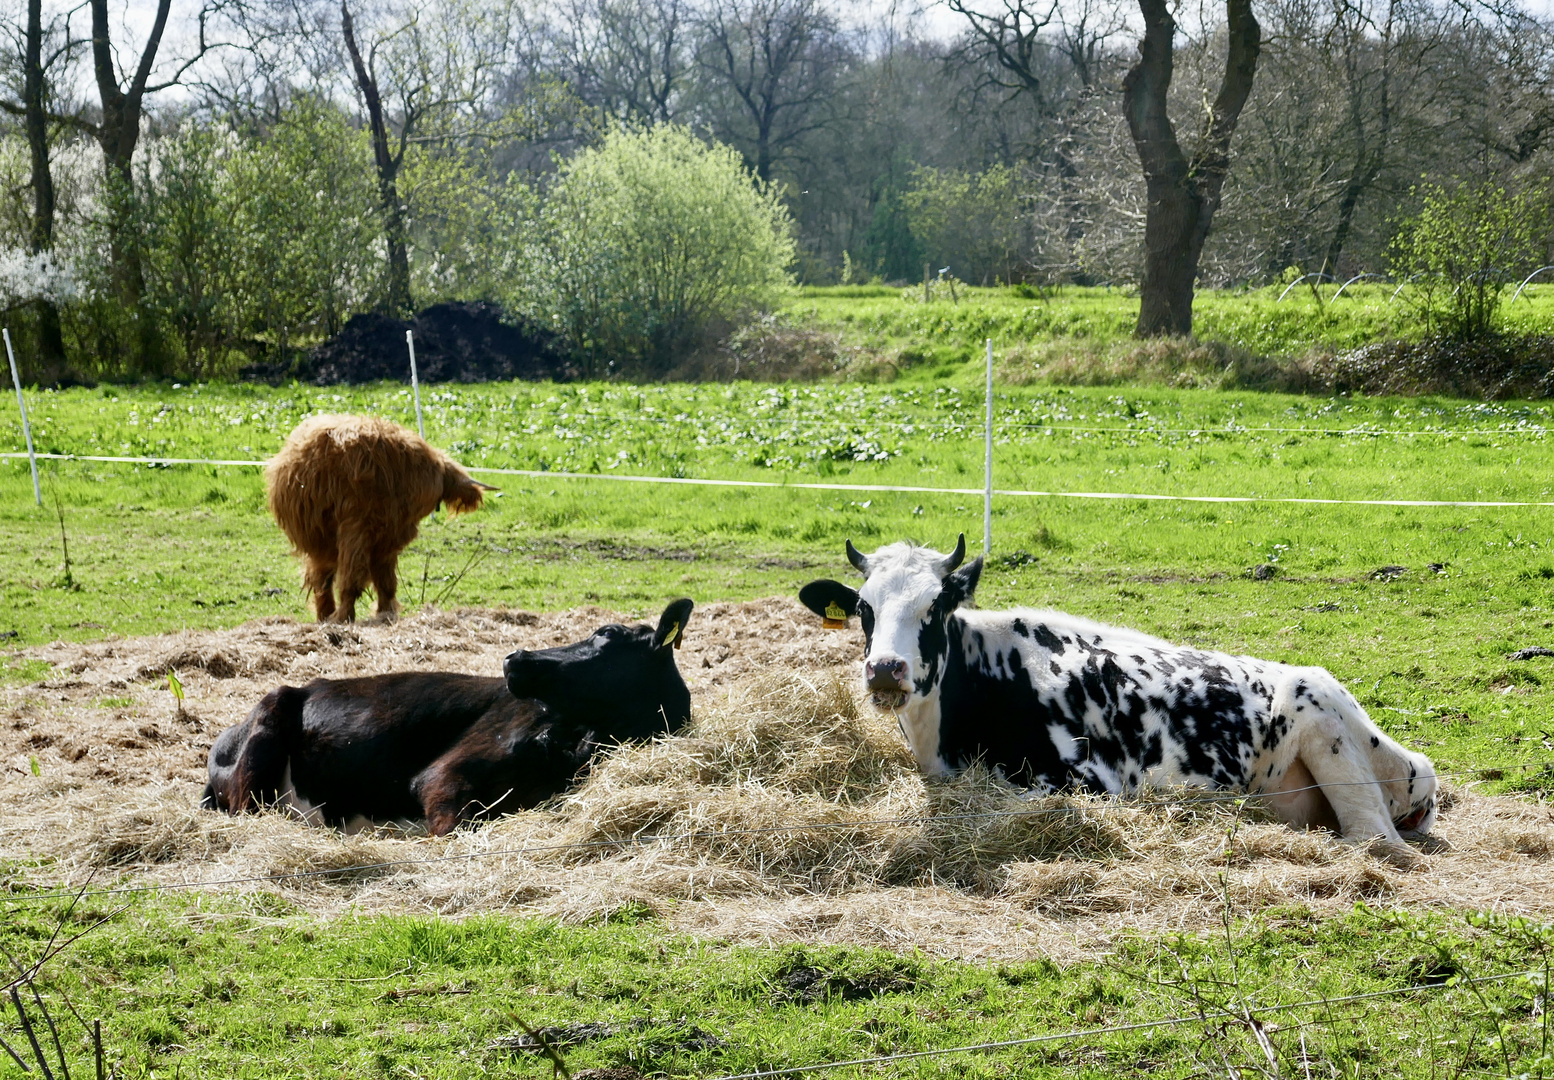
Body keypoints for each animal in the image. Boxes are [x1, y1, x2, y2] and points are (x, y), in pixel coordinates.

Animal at [267, 413, 494, 624]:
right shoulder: (355, 530)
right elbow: (352, 579)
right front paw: (343, 617)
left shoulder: (389, 541)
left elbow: (386, 583)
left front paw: (386, 613)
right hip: (320, 539)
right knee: (322, 579)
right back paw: (327, 615)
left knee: (322, 577)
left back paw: (325, 614)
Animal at [808, 540, 1435, 864]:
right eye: (863, 608)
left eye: (935, 606)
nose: (885, 669)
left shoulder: (1085, 780)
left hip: (1327, 723)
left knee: (1374, 837)